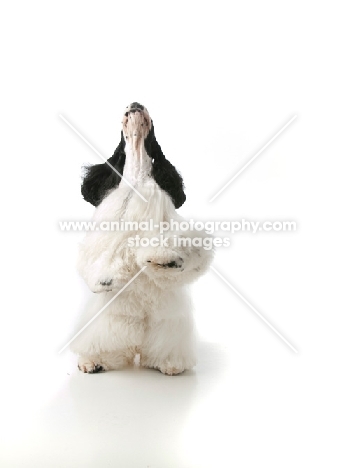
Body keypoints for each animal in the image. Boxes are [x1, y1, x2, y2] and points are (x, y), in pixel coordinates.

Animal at [72, 103, 213, 376]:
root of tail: (137, 344)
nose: (135, 103)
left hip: (168, 325)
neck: (138, 176)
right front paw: (105, 279)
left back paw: (170, 364)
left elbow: (186, 251)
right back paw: (93, 361)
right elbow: (102, 257)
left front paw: (164, 260)